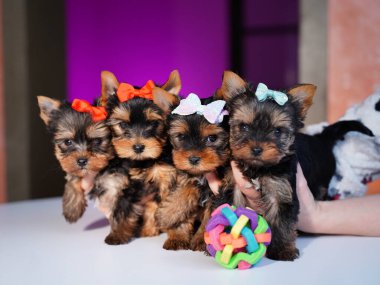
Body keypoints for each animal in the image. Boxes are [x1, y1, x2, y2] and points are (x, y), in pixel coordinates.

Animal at [91, 69, 182, 244]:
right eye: (123, 125)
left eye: (153, 123)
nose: (138, 147)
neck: (143, 163)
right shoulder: (122, 181)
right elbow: (122, 208)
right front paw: (118, 234)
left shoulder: (164, 176)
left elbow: (156, 205)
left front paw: (150, 230)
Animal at [154, 92, 232, 250]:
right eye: (181, 136)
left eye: (212, 138)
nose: (194, 159)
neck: (202, 173)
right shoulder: (186, 177)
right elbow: (183, 192)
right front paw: (168, 218)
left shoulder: (218, 191)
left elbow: (211, 215)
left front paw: (202, 240)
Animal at [217, 71, 372, 260]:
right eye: (244, 127)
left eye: (277, 131)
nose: (256, 148)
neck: (259, 169)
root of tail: (322, 138)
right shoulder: (234, 185)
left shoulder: (282, 192)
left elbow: (282, 222)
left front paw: (282, 249)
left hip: (322, 185)